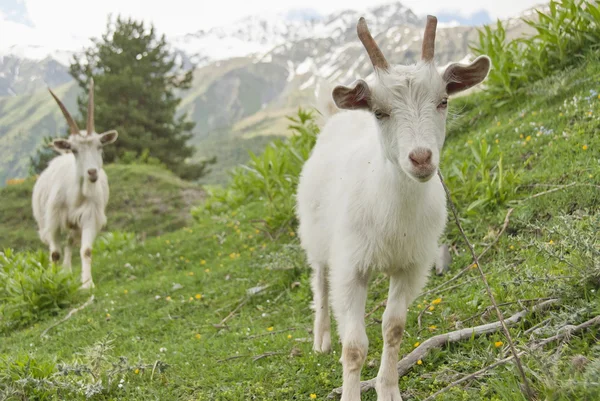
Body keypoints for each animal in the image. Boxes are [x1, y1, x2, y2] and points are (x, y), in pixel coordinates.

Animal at [32, 79, 119, 288]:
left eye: (100, 146)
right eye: (74, 150)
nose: (92, 172)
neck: (75, 197)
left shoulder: (89, 216)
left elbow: (86, 250)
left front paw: (87, 284)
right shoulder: (54, 220)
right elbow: (54, 253)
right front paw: (54, 280)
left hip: (75, 225)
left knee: (71, 242)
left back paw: (68, 271)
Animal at [296, 16, 492, 400]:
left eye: (443, 101)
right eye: (380, 112)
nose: (421, 158)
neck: (391, 209)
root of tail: (338, 118)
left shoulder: (410, 266)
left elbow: (394, 328)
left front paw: (388, 389)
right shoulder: (351, 268)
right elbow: (354, 346)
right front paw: (350, 393)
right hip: (316, 237)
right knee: (320, 282)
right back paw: (321, 339)